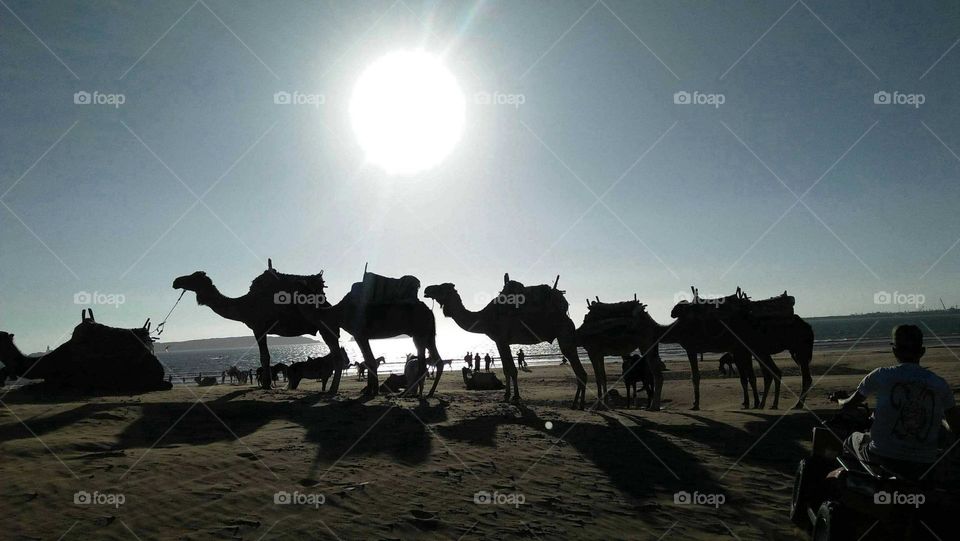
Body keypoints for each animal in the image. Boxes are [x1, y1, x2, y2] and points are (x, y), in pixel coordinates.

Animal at [426, 272, 588, 408]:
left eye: (442, 287)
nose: (427, 289)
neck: (484, 318)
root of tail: (567, 316)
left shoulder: (500, 339)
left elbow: (510, 369)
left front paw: (513, 396)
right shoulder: (502, 342)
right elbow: (507, 369)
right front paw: (508, 395)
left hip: (564, 334)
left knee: (580, 372)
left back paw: (579, 404)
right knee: (579, 372)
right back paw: (576, 403)